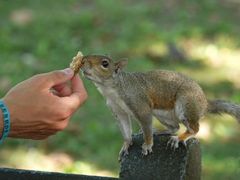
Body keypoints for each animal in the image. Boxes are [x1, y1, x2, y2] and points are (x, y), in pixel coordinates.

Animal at [78, 54, 239, 158]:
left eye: (105, 63)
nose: (83, 60)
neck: (112, 89)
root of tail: (204, 103)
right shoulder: (118, 111)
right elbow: (125, 129)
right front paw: (126, 143)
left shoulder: (140, 106)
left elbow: (145, 125)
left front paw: (148, 145)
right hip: (163, 114)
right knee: (174, 127)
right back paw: (160, 131)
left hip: (185, 104)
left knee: (194, 128)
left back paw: (178, 138)